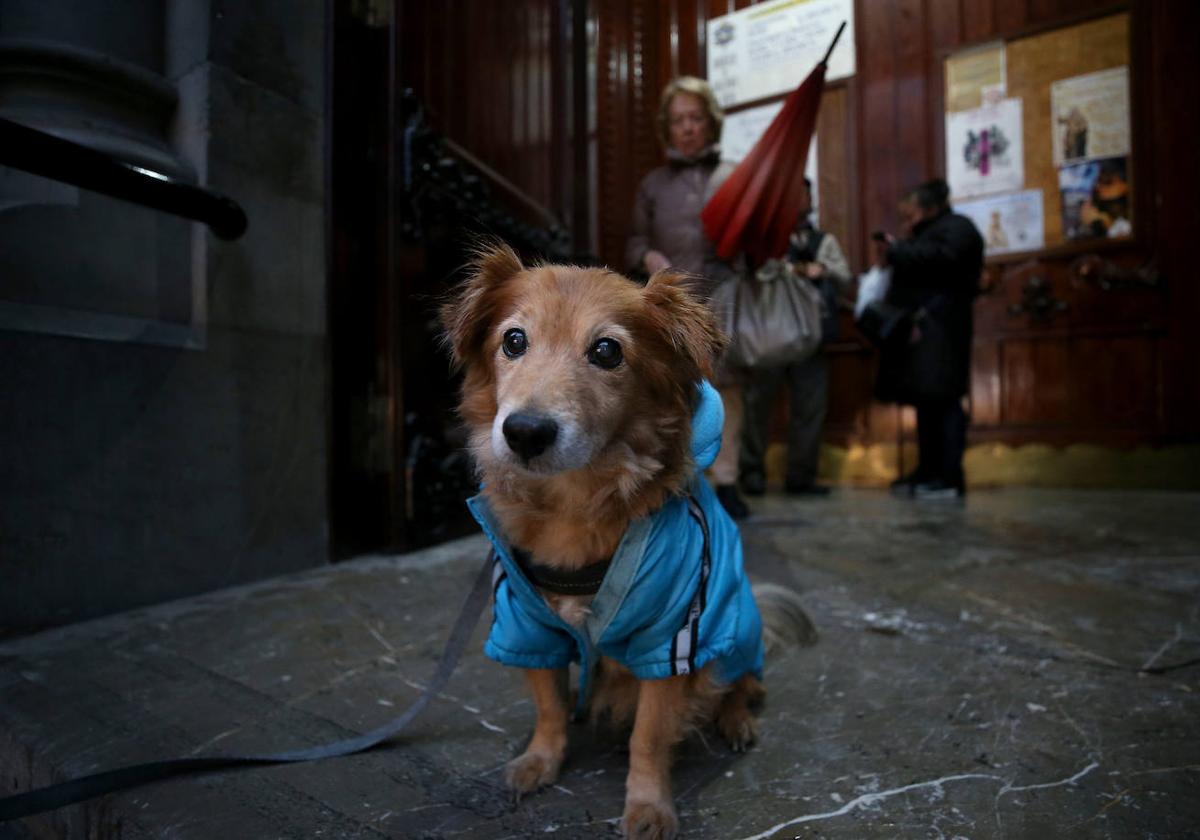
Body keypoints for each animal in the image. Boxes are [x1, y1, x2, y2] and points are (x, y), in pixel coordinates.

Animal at [441, 240, 806, 835]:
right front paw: (541, 759)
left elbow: (650, 735)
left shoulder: (669, 638)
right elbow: (547, 706)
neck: (574, 504)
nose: (525, 433)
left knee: (744, 685)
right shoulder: (526, 625)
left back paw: (735, 722)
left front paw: (648, 804)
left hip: (733, 633)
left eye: (607, 351)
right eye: (513, 341)